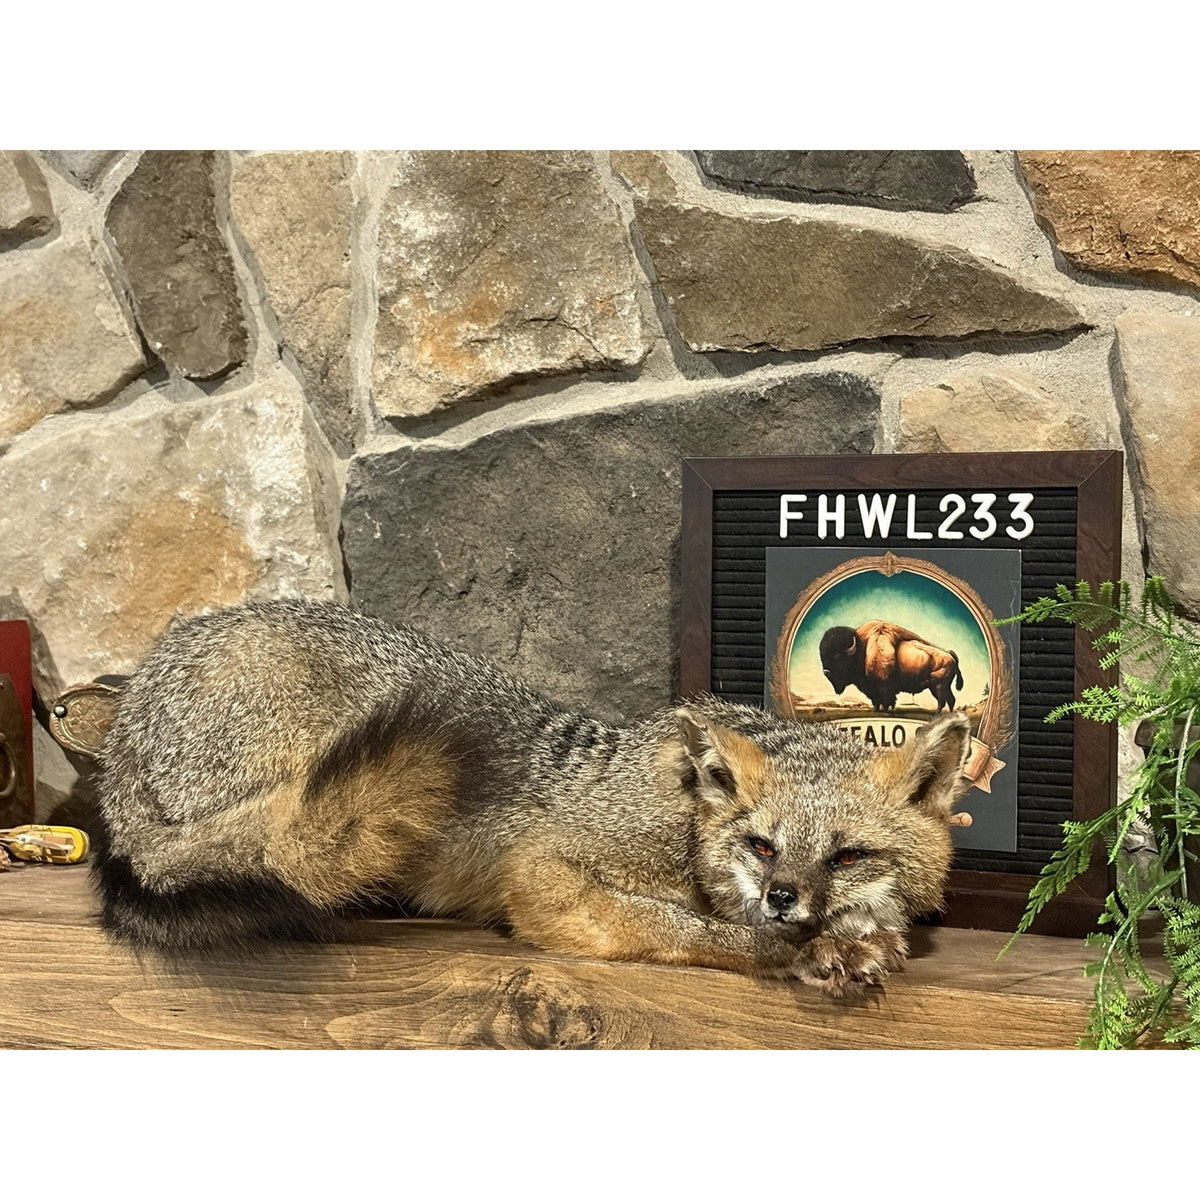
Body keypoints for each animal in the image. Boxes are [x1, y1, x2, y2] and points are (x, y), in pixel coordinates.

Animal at [95, 600, 973, 995]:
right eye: (762, 847)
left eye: (849, 855)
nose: (785, 897)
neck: (684, 818)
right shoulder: (542, 874)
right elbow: (688, 930)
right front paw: (799, 950)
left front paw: (855, 936)